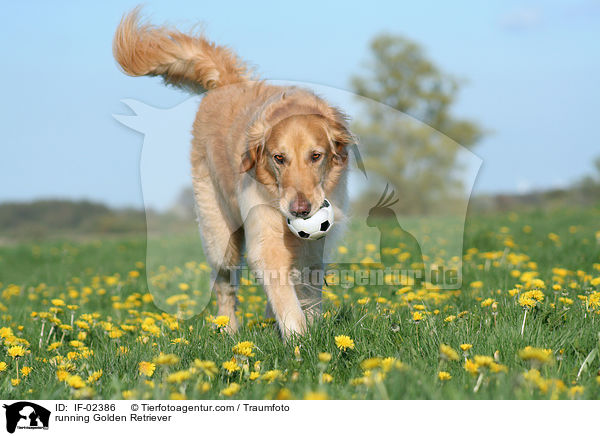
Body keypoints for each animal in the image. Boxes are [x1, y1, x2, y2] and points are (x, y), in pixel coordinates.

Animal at [113, 9, 352, 338]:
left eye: (316, 156)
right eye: (279, 158)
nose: (300, 210)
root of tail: (225, 82)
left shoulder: (316, 243)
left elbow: (308, 284)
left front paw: (311, 324)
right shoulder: (265, 234)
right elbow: (282, 289)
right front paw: (298, 335)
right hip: (218, 231)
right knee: (225, 285)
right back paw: (229, 330)